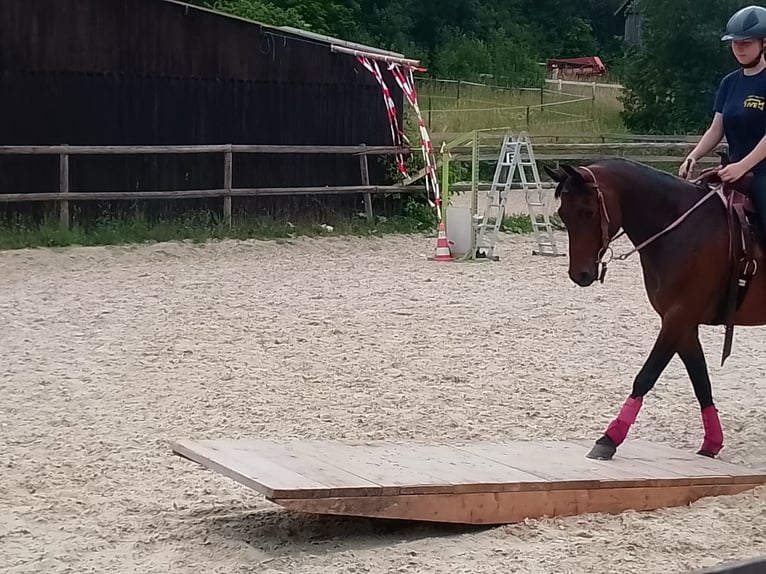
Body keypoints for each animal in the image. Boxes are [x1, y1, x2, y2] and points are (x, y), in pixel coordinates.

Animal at [544, 157, 766, 460]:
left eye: (588, 212)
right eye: (563, 214)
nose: (580, 274)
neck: (681, 228)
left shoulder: (678, 317)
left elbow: (646, 376)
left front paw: (609, 438)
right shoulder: (683, 324)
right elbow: (701, 381)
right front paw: (712, 442)